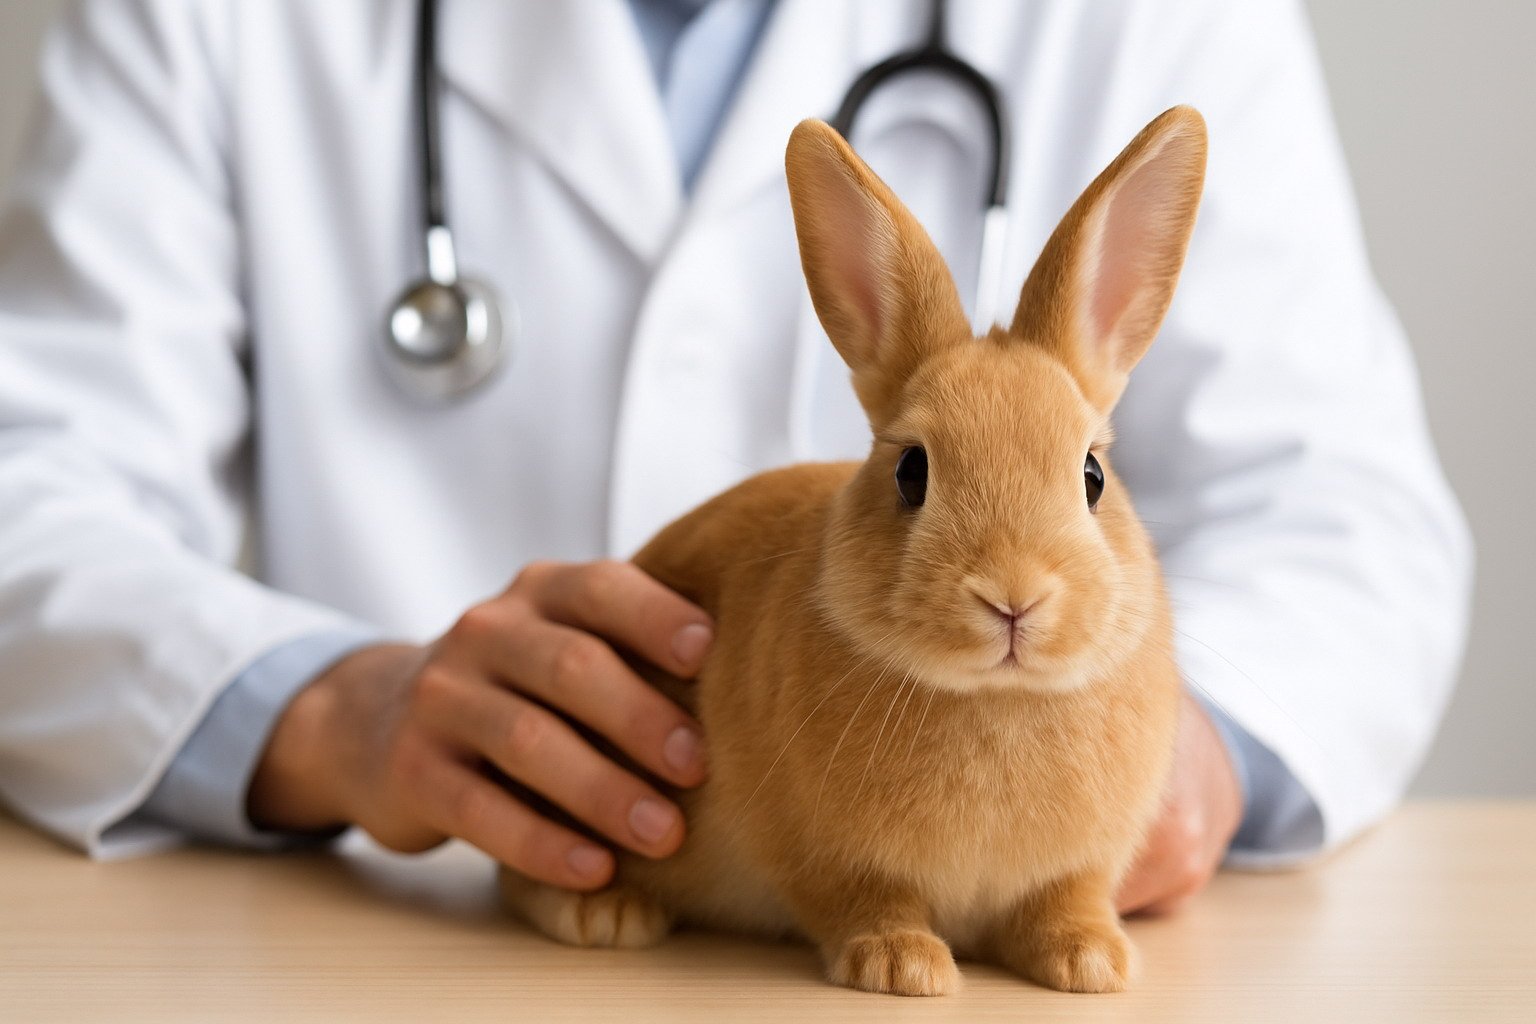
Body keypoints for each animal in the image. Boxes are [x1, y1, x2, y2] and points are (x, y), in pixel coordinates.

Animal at [499, 105, 1208, 997]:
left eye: (1093, 476)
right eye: (912, 472)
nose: (1013, 597)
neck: (995, 696)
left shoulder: (1077, 868)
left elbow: (1063, 901)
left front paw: (1091, 963)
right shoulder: (824, 856)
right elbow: (865, 901)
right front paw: (903, 967)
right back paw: (607, 916)